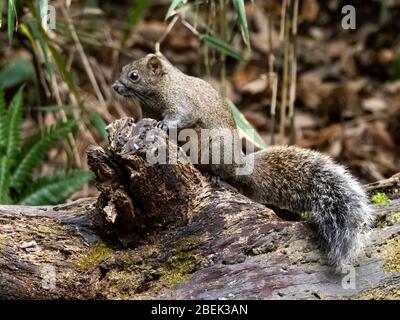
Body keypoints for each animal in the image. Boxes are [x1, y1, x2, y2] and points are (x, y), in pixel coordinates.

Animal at [112, 53, 372, 268]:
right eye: (123, 68)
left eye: (134, 76)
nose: (115, 86)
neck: (161, 88)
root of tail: (240, 165)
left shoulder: (183, 102)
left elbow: (181, 117)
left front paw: (163, 125)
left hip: (215, 150)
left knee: (222, 173)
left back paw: (211, 174)